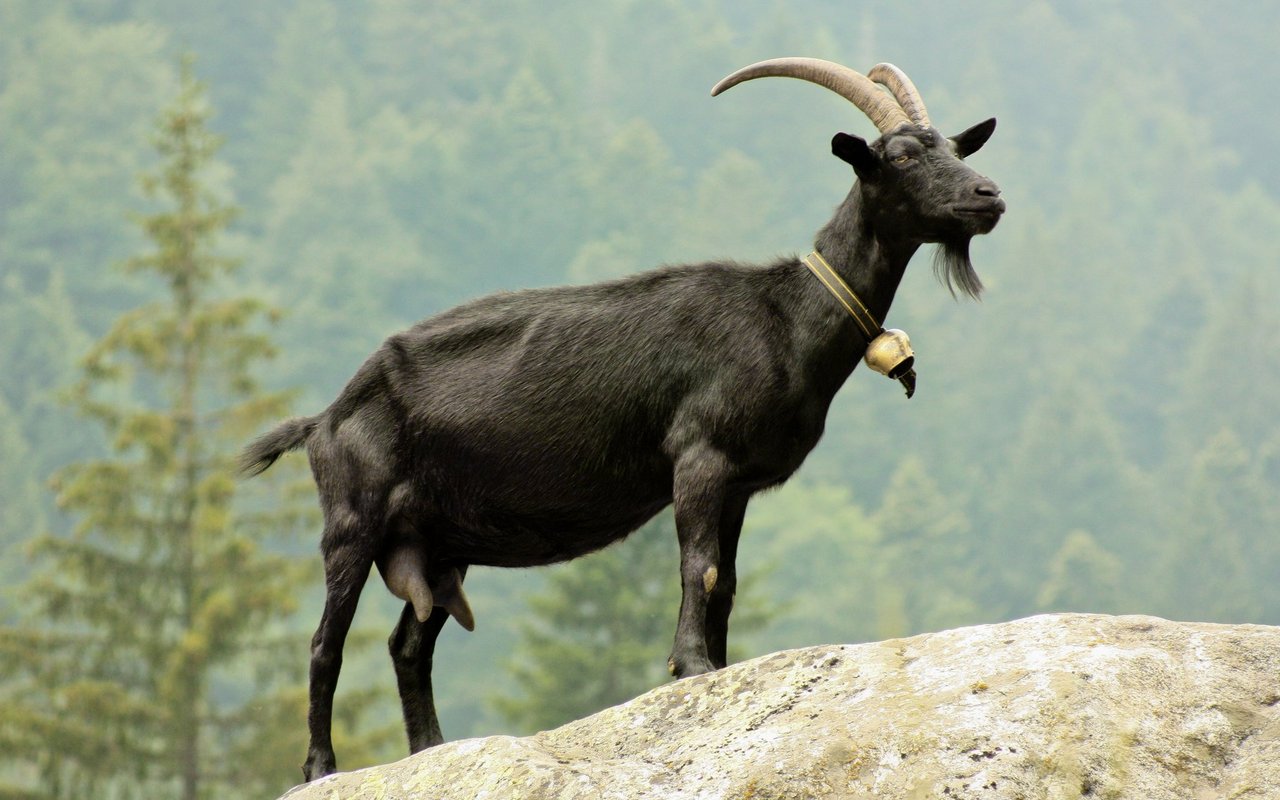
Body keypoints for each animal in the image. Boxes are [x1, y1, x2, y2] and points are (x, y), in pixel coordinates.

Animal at [238, 57, 998, 778]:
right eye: (901, 156)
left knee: (408, 643)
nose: (988, 196)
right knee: (325, 643)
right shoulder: (699, 457)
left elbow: (728, 584)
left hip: (440, 540)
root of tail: (324, 418)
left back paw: (431, 749)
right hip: (353, 520)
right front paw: (691, 668)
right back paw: (322, 765)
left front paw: (723, 671)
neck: (785, 319)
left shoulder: (740, 485)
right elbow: (700, 569)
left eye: (957, 146)